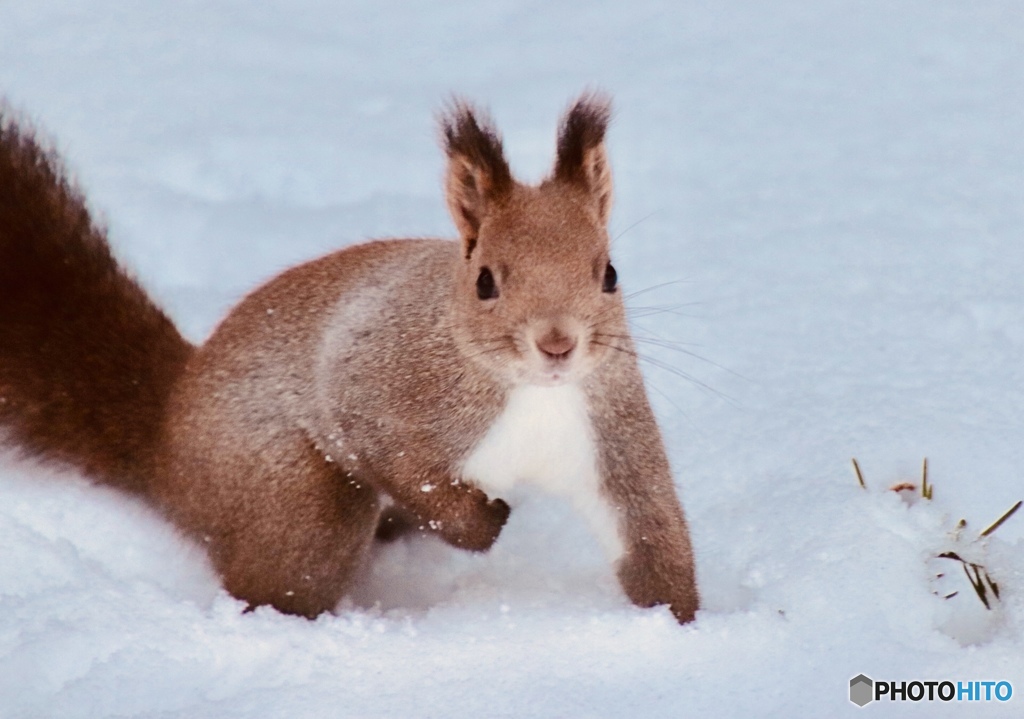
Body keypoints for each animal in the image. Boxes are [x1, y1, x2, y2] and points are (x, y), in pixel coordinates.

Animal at [0, 94, 700, 626]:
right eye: (485, 282)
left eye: (609, 274)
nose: (558, 343)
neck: (534, 391)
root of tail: (169, 442)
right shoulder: (379, 386)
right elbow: (398, 458)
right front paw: (484, 522)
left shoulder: (609, 432)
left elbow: (650, 529)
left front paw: (682, 630)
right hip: (296, 500)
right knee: (281, 578)